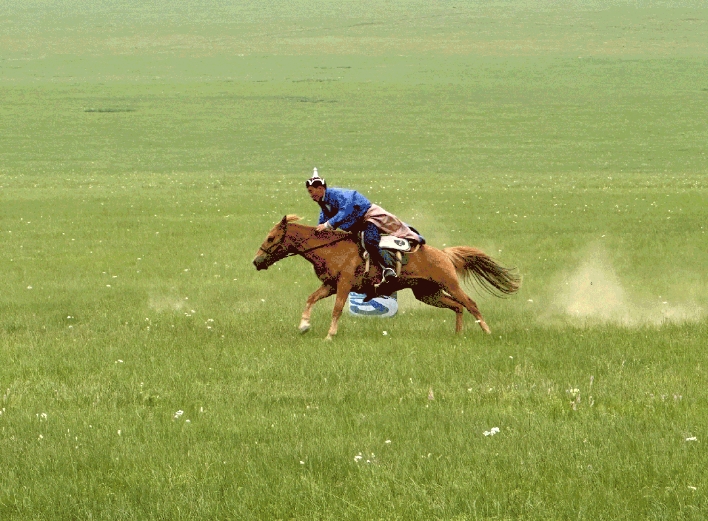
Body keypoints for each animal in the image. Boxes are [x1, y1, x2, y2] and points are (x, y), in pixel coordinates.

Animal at [252, 214, 516, 340]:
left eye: (271, 237)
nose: (256, 261)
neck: (331, 248)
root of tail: (443, 254)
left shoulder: (344, 285)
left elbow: (337, 309)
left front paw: (329, 335)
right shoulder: (330, 285)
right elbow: (310, 299)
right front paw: (304, 325)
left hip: (449, 284)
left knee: (470, 304)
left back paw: (487, 332)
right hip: (427, 293)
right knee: (457, 307)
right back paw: (458, 335)